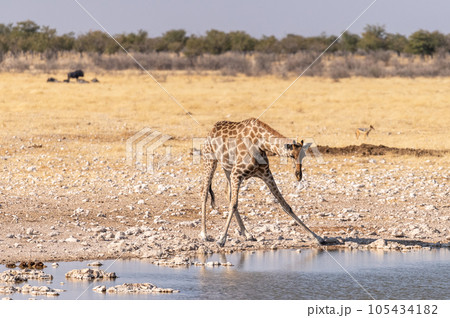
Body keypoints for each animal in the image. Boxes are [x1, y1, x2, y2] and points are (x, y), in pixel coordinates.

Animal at [200, 118, 324, 247]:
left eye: (304, 156)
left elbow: (285, 205)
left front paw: (317, 237)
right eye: (291, 155)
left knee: (226, 192)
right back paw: (204, 234)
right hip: (210, 160)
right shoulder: (237, 173)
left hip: (228, 169)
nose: (298, 175)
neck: (261, 144)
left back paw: (248, 234)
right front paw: (221, 239)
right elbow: (233, 204)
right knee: (204, 192)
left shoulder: (266, 174)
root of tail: (211, 131)